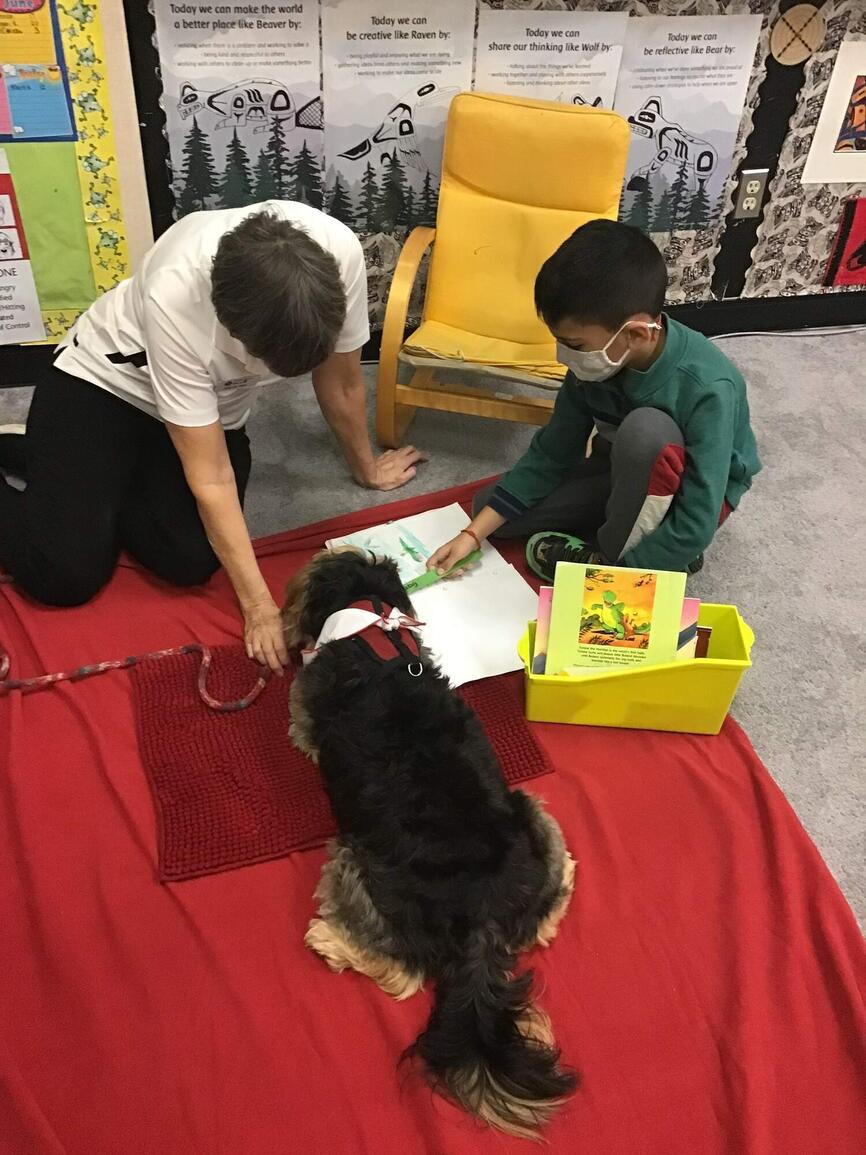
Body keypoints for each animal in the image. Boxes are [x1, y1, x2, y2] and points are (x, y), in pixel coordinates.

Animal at [282, 548, 577, 1138]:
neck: (372, 624)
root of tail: (481, 916)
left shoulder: (303, 711)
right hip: (533, 812)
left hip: (352, 860)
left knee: (402, 972)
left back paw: (329, 942)